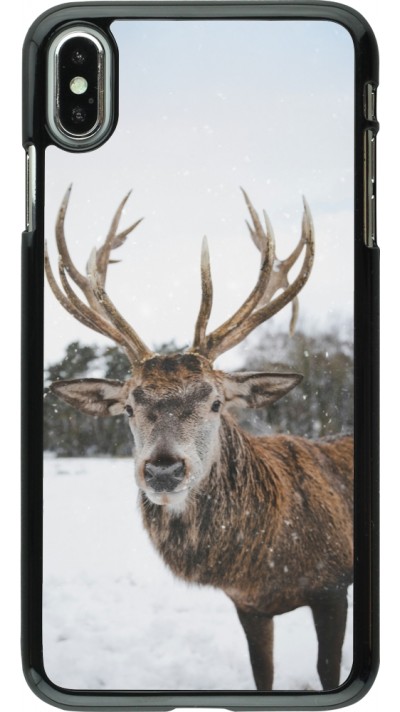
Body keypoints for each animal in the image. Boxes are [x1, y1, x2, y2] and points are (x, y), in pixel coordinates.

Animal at [45, 186, 353, 691]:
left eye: (215, 402)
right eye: (129, 407)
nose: (163, 469)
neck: (266, 563)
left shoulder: (333, 585)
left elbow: (329, 669)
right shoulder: (248, 605)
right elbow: (262, 674)